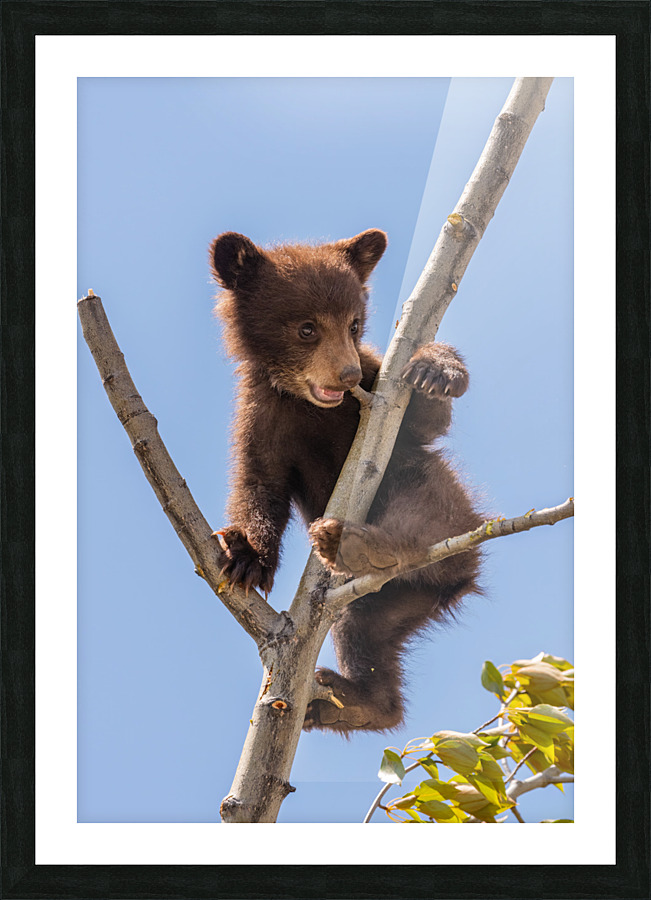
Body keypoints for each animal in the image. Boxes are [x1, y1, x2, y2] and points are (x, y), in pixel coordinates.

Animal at [210, 228, 483, 734]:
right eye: (307, 328)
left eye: (354, 326)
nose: (348, 374)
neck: (309, 405)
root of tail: (455, 578)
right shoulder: (260, 418)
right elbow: (259, 485)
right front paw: (245, 555)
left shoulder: (376, 390)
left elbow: (421, 423)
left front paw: (436, 369)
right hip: (392, 602)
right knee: (364, 631)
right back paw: (351, 702)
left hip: (445, 512)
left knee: (421, 508)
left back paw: (364, 544)